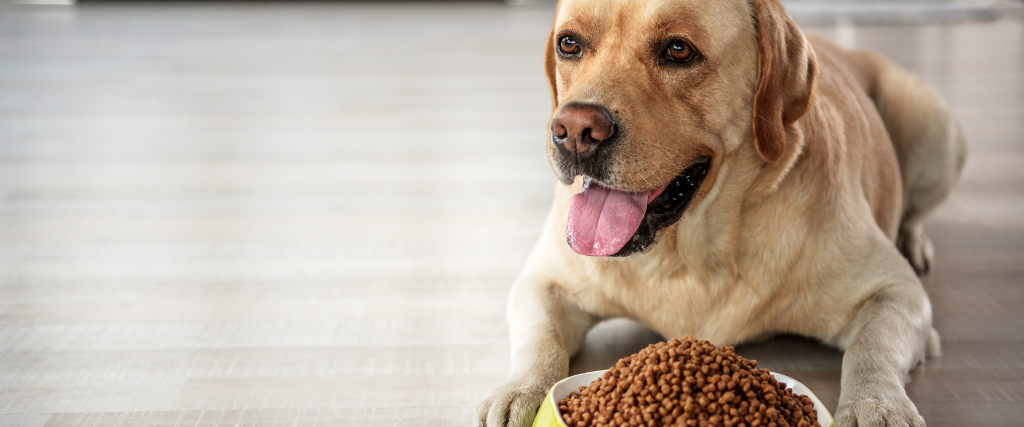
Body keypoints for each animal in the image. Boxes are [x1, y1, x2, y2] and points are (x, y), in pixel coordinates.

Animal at [475, 0, 962, 423]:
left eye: (678, 50)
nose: (575, 130)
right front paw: (518, 392)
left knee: (915, 212)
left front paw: (875, 406)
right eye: (569, 44)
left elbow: (869, 350)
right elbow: (541, 341)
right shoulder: (543, 282)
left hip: (934, 127)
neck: (690, 255)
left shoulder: (897, 293)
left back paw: (914, 240)